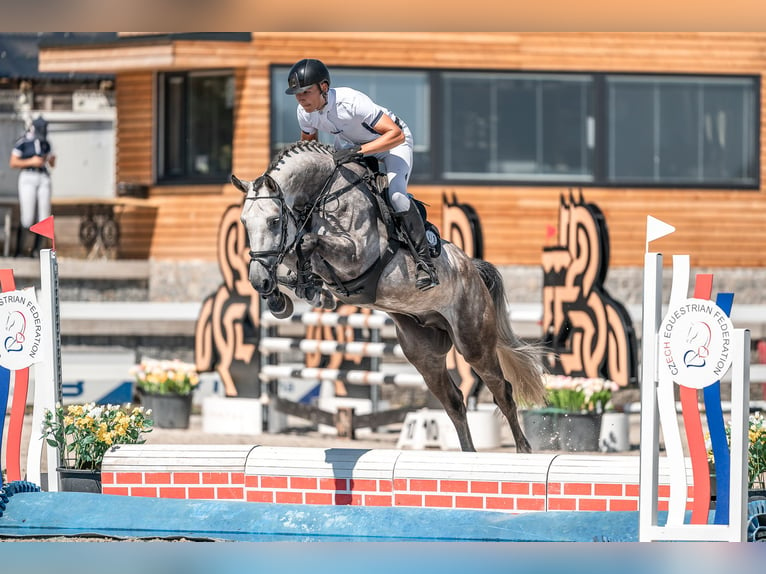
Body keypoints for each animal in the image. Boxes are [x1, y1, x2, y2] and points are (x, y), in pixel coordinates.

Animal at [234, 141, 544, 454]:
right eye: (245, 222)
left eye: (274, 221)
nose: (258, 281)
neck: (324, 194)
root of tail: (473, 270)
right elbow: (294, 252)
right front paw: (289, 294)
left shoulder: (356, 256)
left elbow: (306, 242)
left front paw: (300, 284)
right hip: (424, 353)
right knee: (454, 401)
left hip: (473, 342)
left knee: (503, 391)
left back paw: (523, 452)